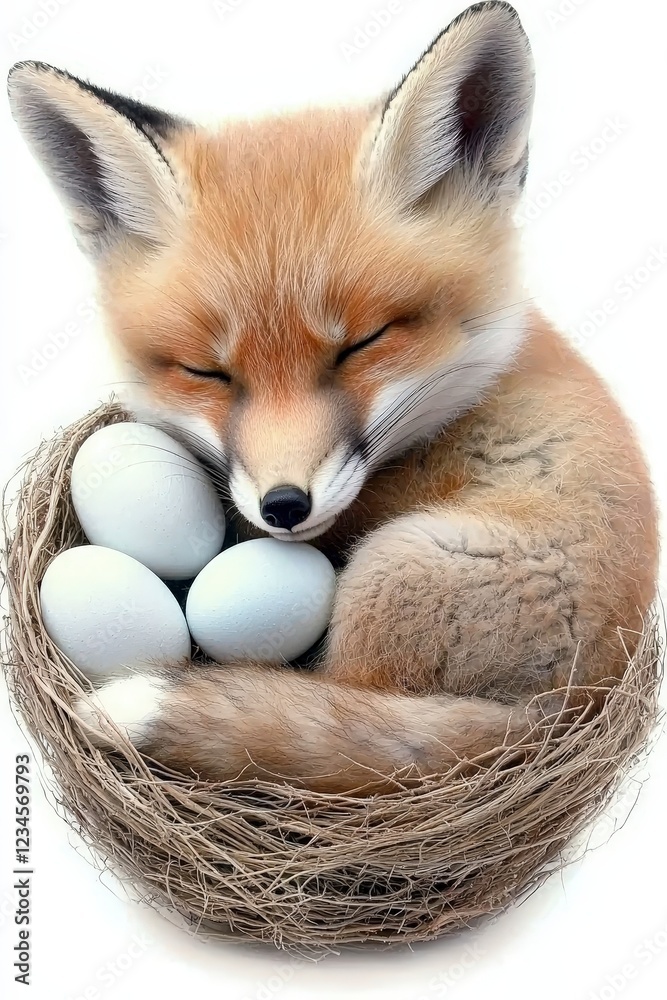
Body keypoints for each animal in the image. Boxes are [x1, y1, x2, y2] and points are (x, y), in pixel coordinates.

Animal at [8, 1, 658, 794]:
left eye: (362, 343)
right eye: (207, 372)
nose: (285, 506)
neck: (467, 394)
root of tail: (564, 710)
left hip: (391, 575)